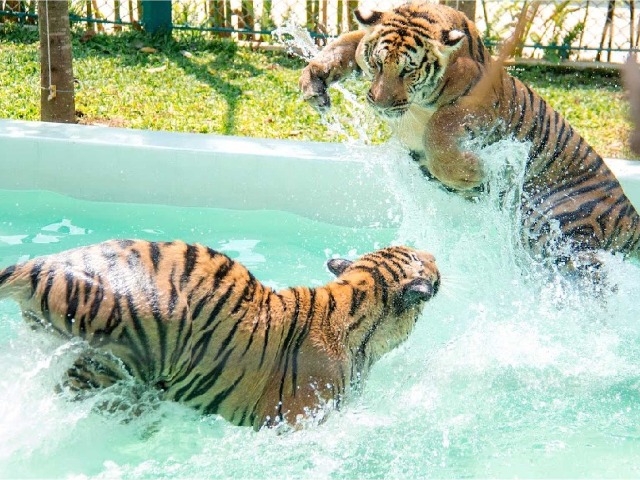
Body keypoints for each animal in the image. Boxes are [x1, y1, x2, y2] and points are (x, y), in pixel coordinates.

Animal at [299, 1, 640, 271]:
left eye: (408, 70)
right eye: (378, 63)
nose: (380, 104)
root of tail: (629, 211)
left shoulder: (481, 102)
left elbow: (439, 125)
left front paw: (473, 172)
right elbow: (345, 43)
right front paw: (313, 81)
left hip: (560, 227)